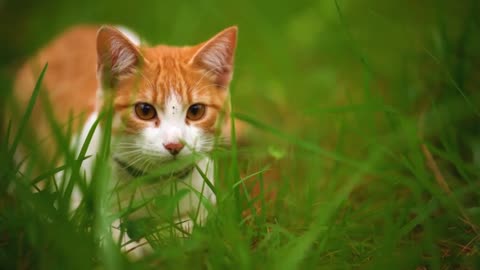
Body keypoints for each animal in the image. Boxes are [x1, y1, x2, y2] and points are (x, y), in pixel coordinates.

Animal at [10, 24, 237, 254]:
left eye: (196, 111)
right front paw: (130, 246)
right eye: (144, 110)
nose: (174, 145)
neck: (153, 184)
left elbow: (195, 226)